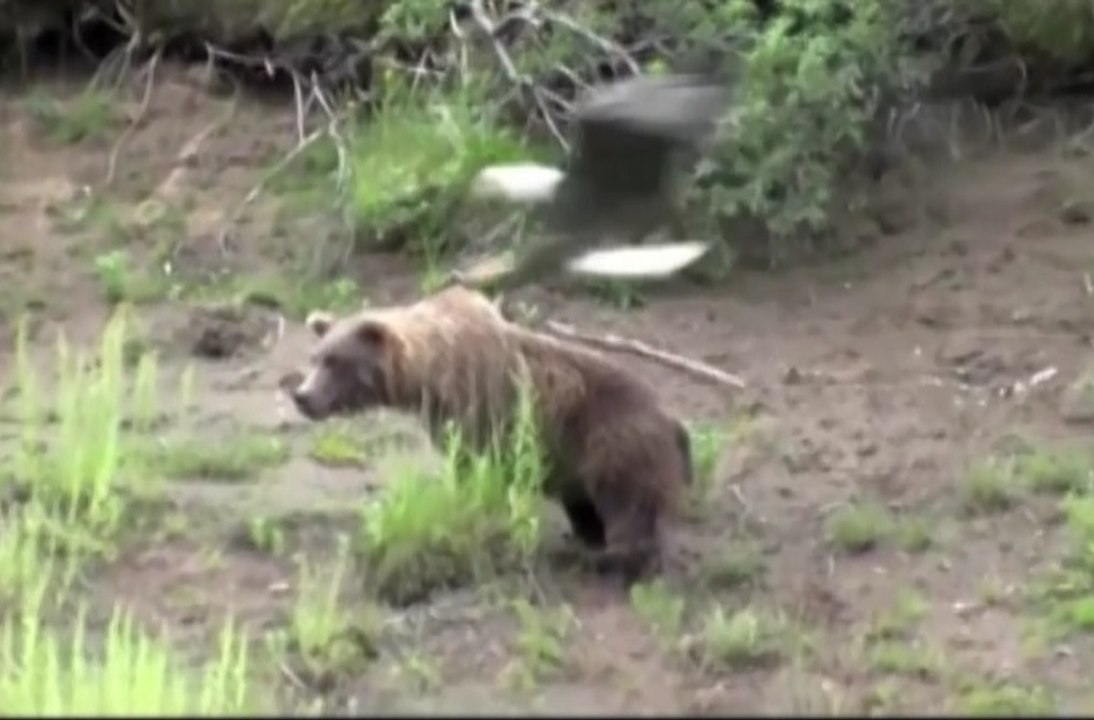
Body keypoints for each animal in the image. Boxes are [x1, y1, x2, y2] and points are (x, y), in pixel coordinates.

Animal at [284, 285, 693, 580]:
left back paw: (601, 558)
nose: (303, 396)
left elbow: (470, 466)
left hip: (613, 443)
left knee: (631, 509)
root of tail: (673, 419)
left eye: (336, 362)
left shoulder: (475, 408)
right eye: (316, 357)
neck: (426, 376)